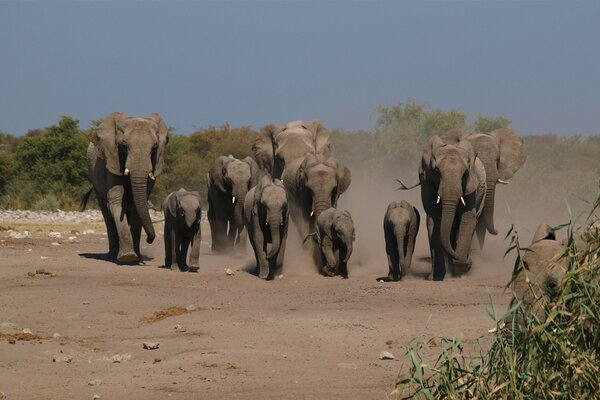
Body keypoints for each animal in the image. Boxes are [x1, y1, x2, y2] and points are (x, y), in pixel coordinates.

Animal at [86, 111, 169, 264]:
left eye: (155, 146)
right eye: (123, 145)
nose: (149, 240)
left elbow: (139, 206)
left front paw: (136, 259)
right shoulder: (112, 160)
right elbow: (116, 203)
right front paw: (127, 257)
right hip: (94, 179)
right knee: (107, 214)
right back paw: (112, 255)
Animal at [418, 130, 488, 280]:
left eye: (465, 173)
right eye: (437, 172)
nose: (468, 260)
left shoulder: (471, 186)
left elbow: (468, 218)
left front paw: (462, 270)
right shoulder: (426, 181)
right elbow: (435, 219)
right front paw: (437, 277)